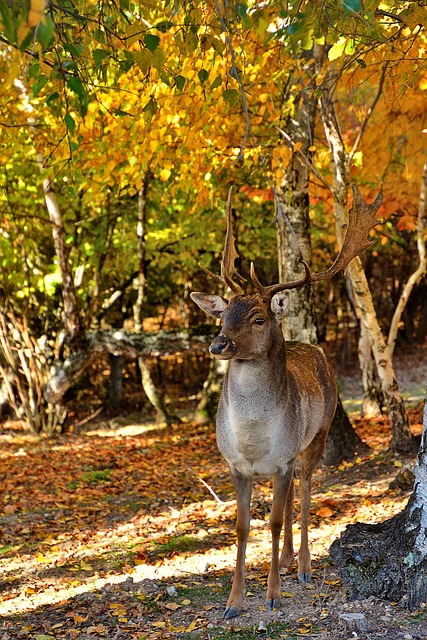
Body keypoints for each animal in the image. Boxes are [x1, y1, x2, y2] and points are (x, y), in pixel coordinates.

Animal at [191, 185, 384, 620]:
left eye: (259, 318)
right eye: (224, 315)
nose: (218, 344)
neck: (253, 440)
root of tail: (314, 348)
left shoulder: (280, 460)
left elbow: (276, 522)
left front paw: (273, 594)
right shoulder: (235, 465)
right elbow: (243, 526)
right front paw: (233, 602)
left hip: (318, 433)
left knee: (308, 488)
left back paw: (304, 566)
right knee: (297, 491)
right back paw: (286, 559)